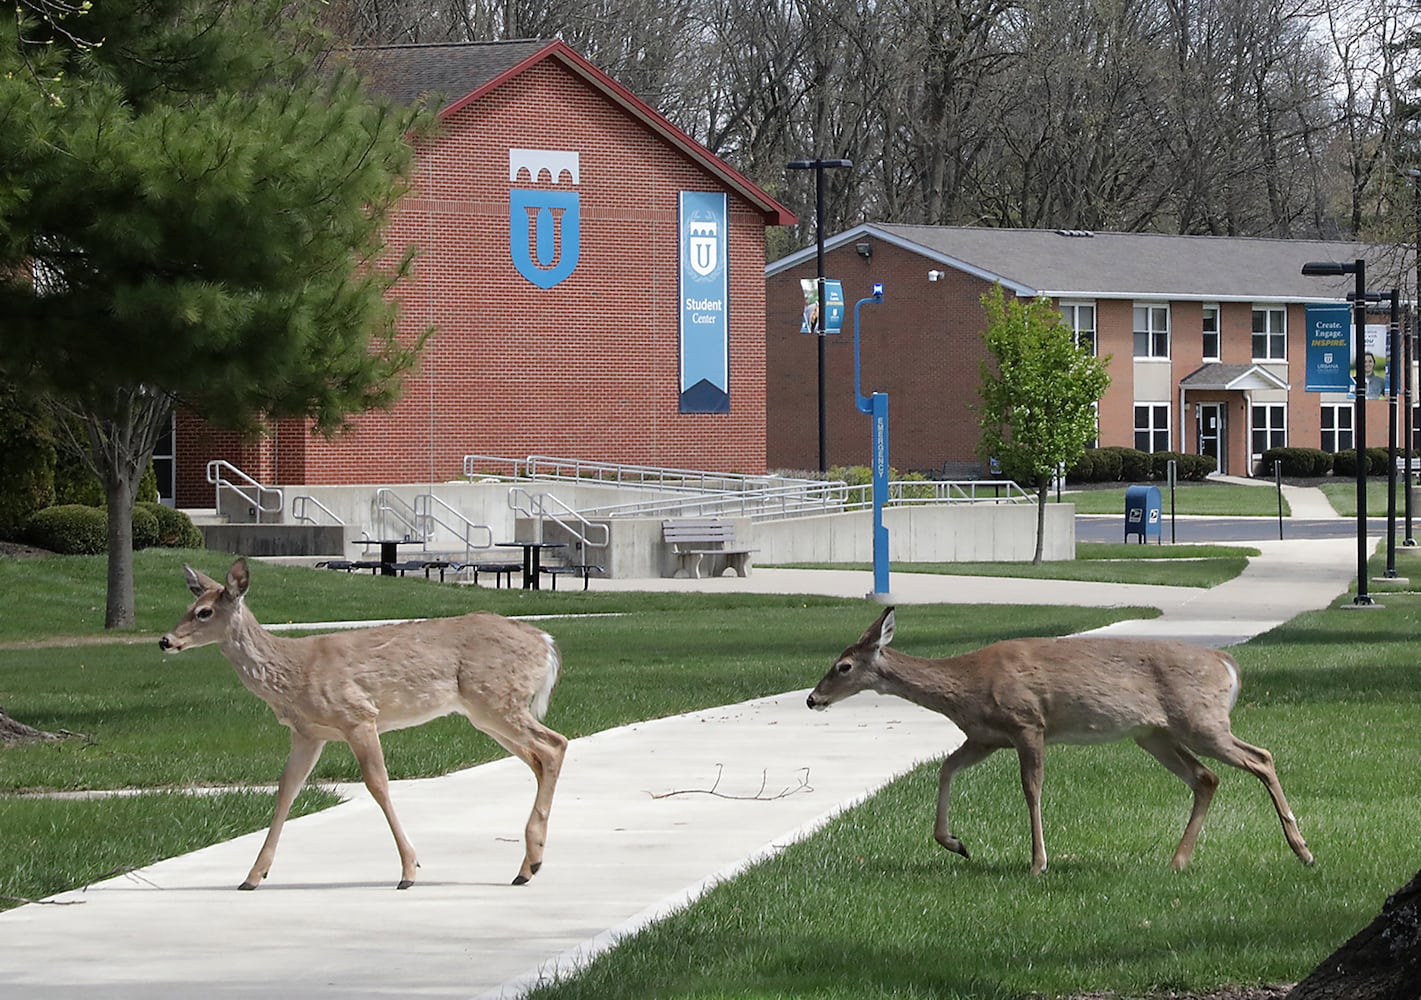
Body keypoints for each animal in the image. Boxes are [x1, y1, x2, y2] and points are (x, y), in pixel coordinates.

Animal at [159, 559, 565, 892]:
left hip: (496, 700)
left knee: (554, 745)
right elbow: (287, 788)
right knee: (539, 757)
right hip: (486, 712)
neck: (294, 672)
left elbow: (378, 785)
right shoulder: (307, 733)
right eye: (187, 607)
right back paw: (529, 863)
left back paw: (529, 864)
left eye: (204, 612)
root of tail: (546, 642)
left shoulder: (358, 716)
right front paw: (253, 875)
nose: (165, 640)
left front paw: (408, 870)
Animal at [807, 602, 1313, 875]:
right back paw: (1178, 861)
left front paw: (1038, 863)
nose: (813, 699)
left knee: (1261, 756)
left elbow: (1032, 789)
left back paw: (1302, 850)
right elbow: (946, 768)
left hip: (1201, 722)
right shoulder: (985, 737)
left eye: (843, 666)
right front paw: (956, 843)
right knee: (1206, 778)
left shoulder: (1028, 724)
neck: (965, 685)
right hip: (1154, 734)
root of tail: (1228, 664)